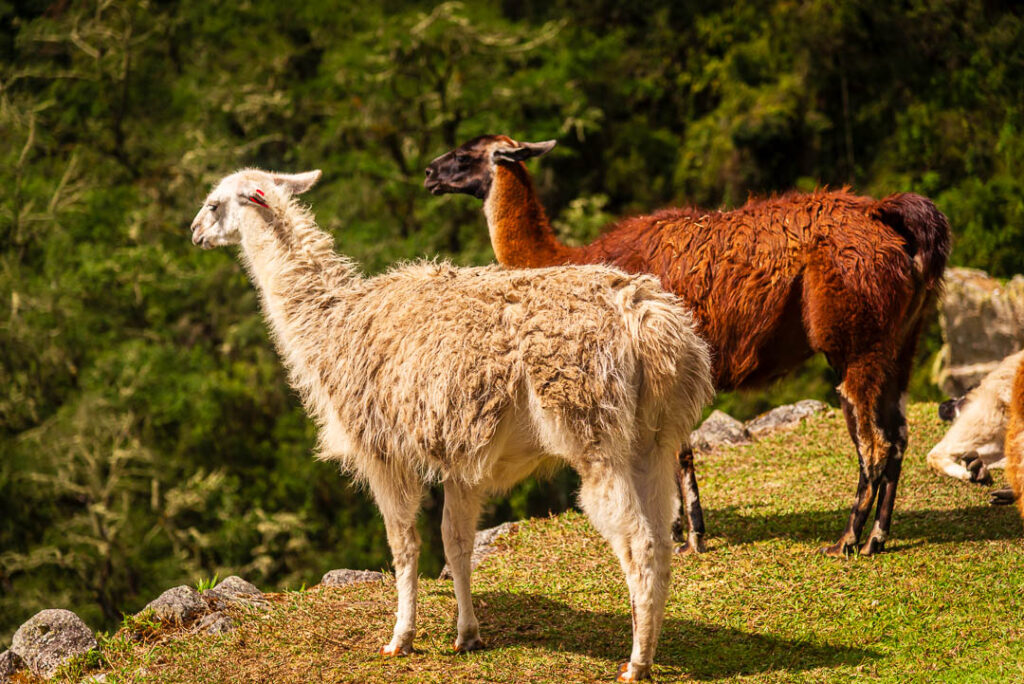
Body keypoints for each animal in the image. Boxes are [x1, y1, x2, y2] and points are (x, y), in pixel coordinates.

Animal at [189, 168, 714, 681]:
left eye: (214, 203)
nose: (195, 233)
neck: (333, 323)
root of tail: (646, 317)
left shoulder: (382, 450)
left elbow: (405, 545)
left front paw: (400, 639)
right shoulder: (463, 455)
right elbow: (457, 544)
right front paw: (468, 636)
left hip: (593, 430)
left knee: (639, 542)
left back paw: (636, 663)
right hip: (650, 440)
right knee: (660, 539)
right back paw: (647, 644)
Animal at [424, 134, 952, 557]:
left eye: (465, 154)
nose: (429, 172)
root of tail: (883, 215)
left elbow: (674, 453)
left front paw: (688, 537)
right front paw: (682, 531)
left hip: (854, 341)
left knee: (874, 444)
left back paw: (846, 541)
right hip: (900, 342)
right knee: (899, 437)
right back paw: (877, 538)